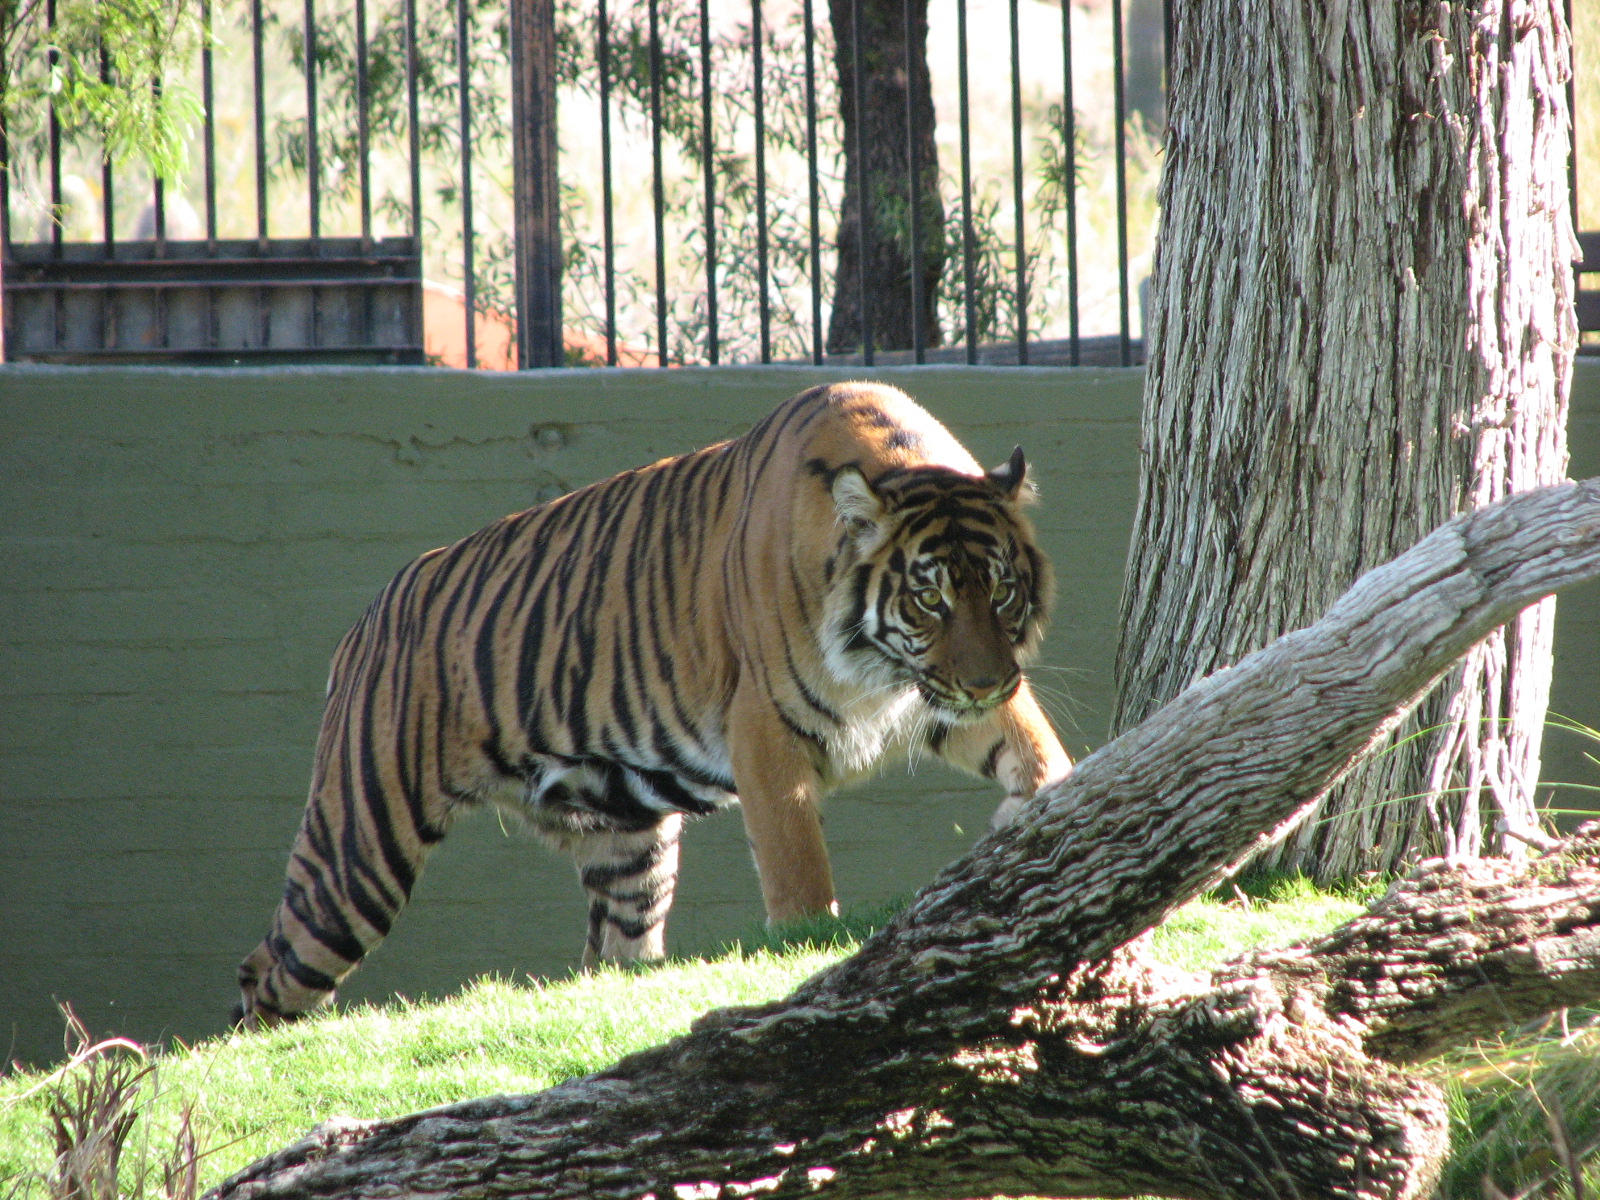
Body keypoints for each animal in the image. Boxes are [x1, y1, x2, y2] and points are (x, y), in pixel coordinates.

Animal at [235, 381, 1071, 1028]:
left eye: (1000, 590)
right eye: (930, 599)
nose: (985, 683)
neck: (884, 669)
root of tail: (367, 617)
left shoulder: (943, 695)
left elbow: (1039, 751)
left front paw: (1035, 815)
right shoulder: (767, 729)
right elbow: (797, 862)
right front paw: (808, 947)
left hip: (627, 847)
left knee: (607, 952)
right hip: (358, 857)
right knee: (268, 971)